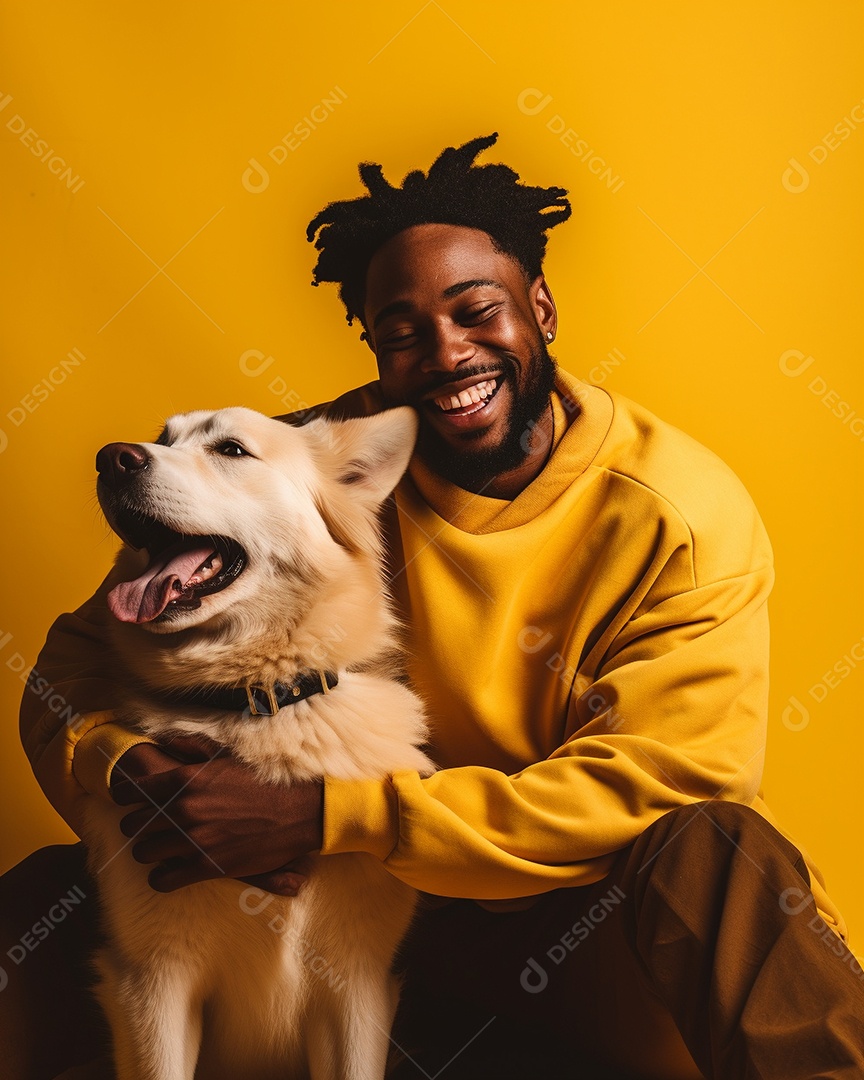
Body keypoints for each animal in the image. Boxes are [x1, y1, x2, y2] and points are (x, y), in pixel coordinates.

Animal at [85, 403, 436, 1080]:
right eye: (163, 438)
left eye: (232, 450)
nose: (112, 457)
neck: (256, 701)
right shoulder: (151, 984)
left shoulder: (357, 986)